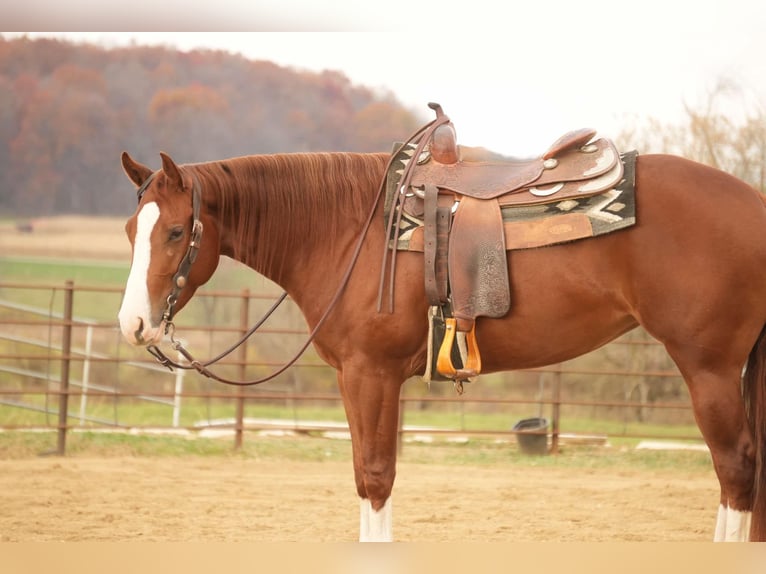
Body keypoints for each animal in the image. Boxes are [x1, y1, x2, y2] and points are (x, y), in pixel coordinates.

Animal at [115, 121, 766, 544]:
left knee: (735, 468)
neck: (345, 229)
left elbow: (376, 478)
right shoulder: (362, 379)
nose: (133, 324)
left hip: (707, 367)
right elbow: (368, 477)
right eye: (129, 230)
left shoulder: (372, 374)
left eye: (175, 232)